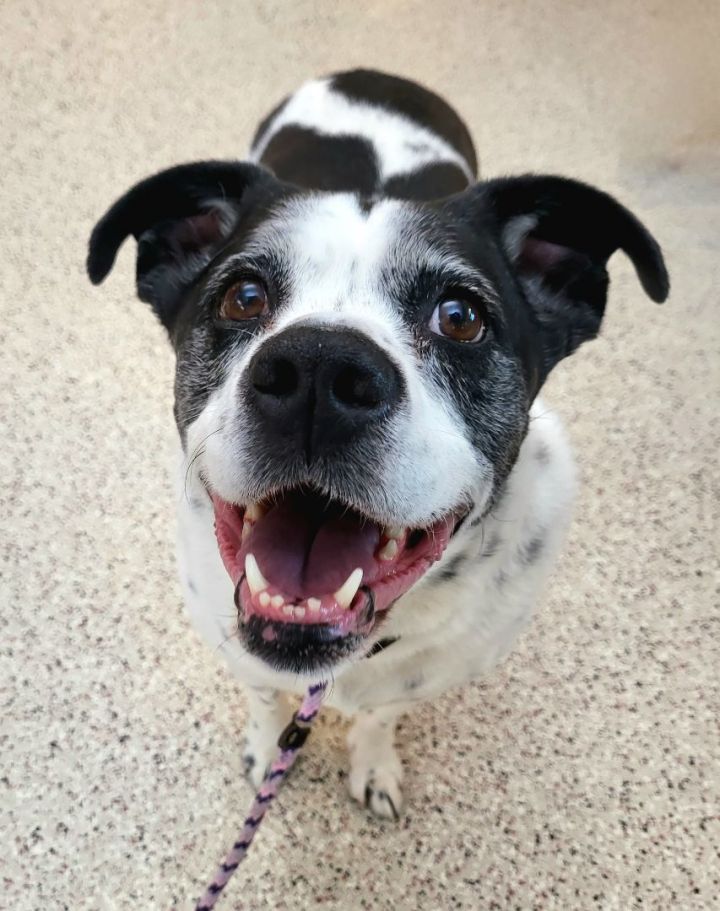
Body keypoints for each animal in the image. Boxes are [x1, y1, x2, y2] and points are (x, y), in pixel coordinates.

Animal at [86, 69, 668, 820]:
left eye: (461, 316)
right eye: (243, 295)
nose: (318, 370)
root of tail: (373, 75)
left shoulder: (424, 676)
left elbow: (380, 716)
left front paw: (373, 764)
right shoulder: (237, 646)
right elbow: (262, 696)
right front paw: (267, 749)